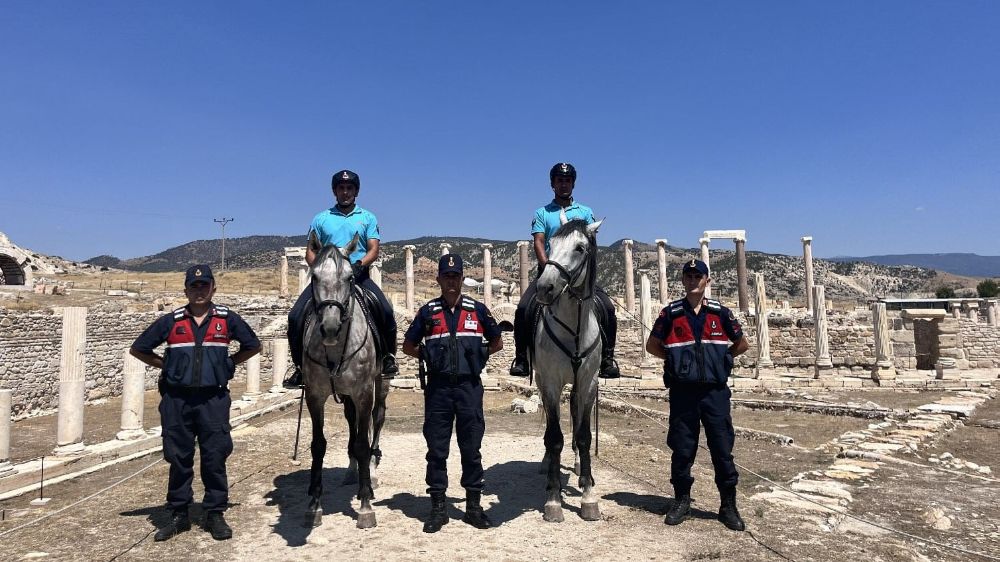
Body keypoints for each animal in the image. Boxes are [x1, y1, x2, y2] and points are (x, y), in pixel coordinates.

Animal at [298, 231, 388, 524]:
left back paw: (372, 470)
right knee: (352, 421)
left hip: (381, 382)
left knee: (376, 419)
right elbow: (318, 445)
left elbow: (362, 442)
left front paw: (366, 505)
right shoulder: (314, 395)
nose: (330, 327)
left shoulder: (364, 392)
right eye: (314, 276)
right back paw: (352, 470)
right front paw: (314, 503)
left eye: (350, 277)